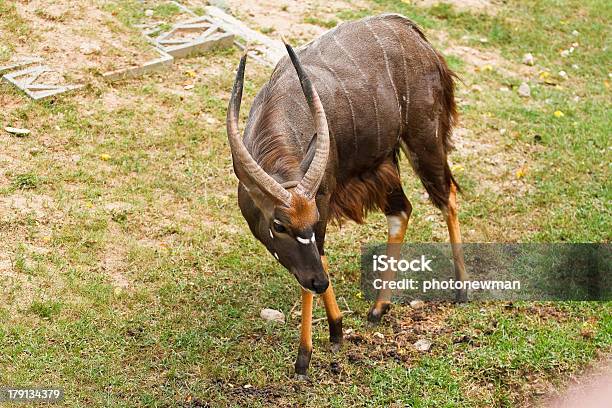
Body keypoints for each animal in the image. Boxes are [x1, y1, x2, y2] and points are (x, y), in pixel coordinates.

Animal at [227, 12, 466, 378]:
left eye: (310, 220)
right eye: (279, 225)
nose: (320, 282)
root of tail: (415, 35)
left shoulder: (323, 204)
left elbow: (318, 256)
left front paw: (305, 356)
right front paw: (336, 328)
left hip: (424, 141)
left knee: (447, 195)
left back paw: (462, 289)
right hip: (385, 163)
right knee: (402, 210)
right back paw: (379, 307)